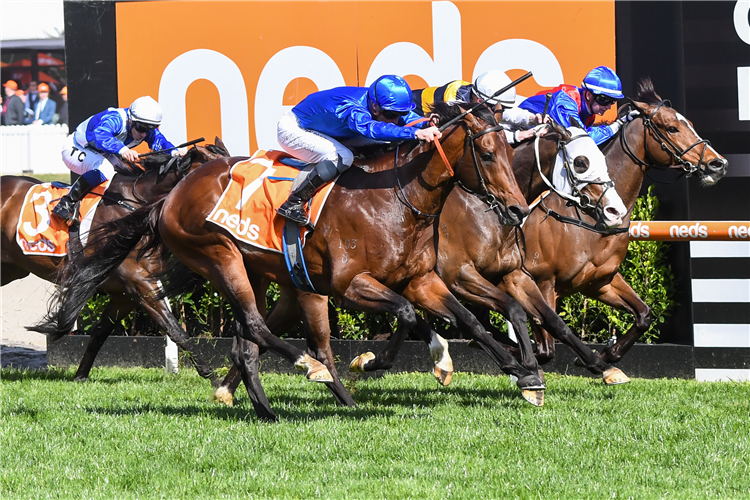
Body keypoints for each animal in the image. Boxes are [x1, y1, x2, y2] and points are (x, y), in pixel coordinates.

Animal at [9, 141, 226, 382]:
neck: (137, 206)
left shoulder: (125, 295)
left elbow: (100, 333)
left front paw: (80, 376)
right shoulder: (141, 284)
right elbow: (176, 330)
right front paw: (215, 378)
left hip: (11, 268)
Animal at [44, 102, 548, 422]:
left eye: (510, 151)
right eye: (487, 154)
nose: (517, 210)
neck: (394, 198)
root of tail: (169, 196)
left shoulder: (422, 279)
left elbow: (470, 320)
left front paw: (524, 374)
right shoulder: (348, 285)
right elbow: (406, 317)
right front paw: (371, 361)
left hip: (259, 274)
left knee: (248, 342)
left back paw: (266, 407)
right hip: (220, 256)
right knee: (261, 330)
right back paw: (311, 370)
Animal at [512, 78, 728, 364]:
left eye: (689, 123)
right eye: (672, 128)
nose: (718, 164)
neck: (591, 220)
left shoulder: (599, 282)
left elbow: (644, 314)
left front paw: (608, 353)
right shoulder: (542, 281)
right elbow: (545, 346)